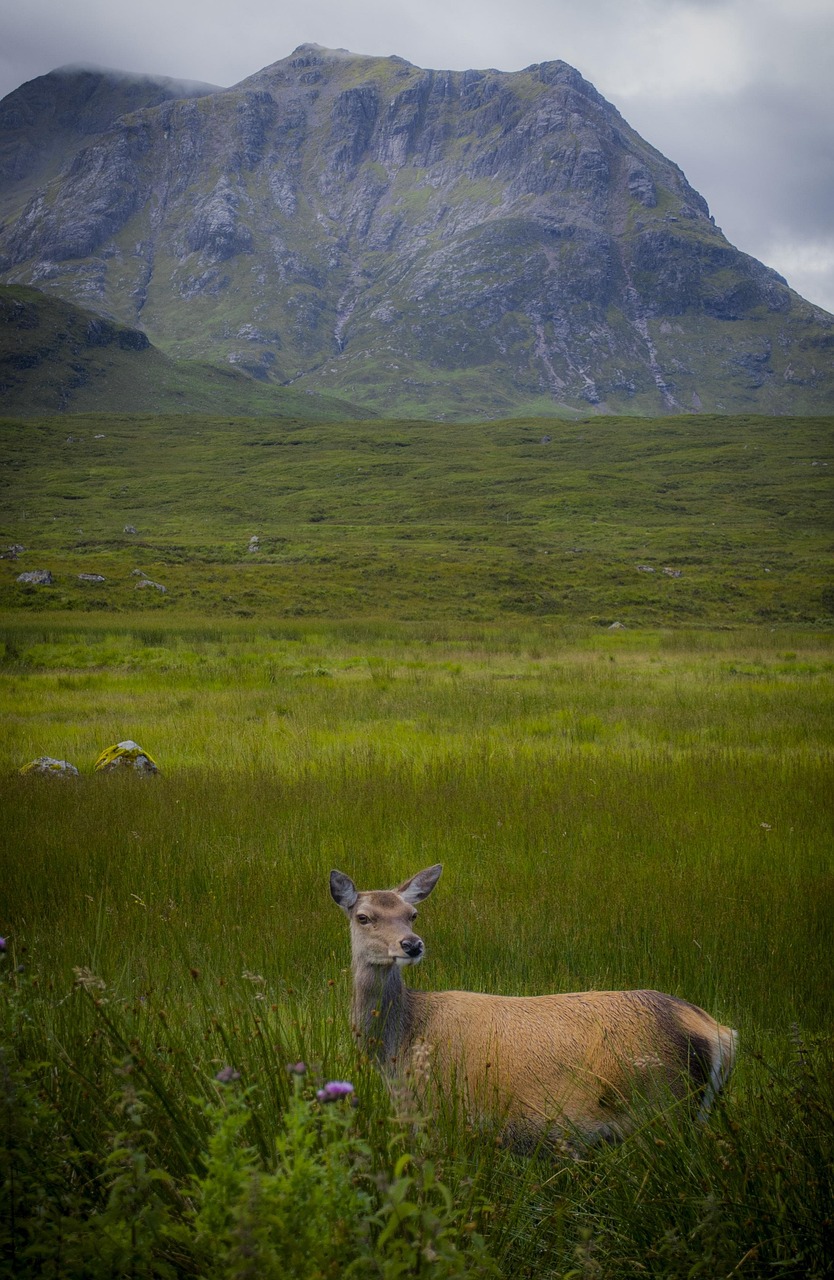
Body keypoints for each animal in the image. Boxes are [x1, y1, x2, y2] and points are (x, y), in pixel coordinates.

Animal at [330, 863, 738, 1146]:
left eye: (412, 915)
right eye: (363, 917)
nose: (412, 945)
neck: (398, 1045)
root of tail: (721, 1034)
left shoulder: (435, 1113)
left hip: (664, 1107)